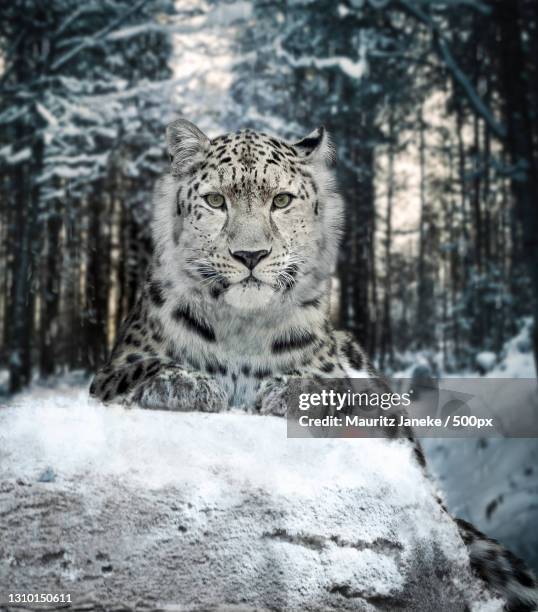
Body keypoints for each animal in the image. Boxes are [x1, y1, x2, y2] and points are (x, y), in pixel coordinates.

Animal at [90, 117, 536, 608]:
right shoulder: (110, 371)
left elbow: (338, 389)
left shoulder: (357, 385)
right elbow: (144, 369)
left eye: (281, 201)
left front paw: (281, 392)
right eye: (215, 201)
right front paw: (190, 384)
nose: (250, 256)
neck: (242, 327)